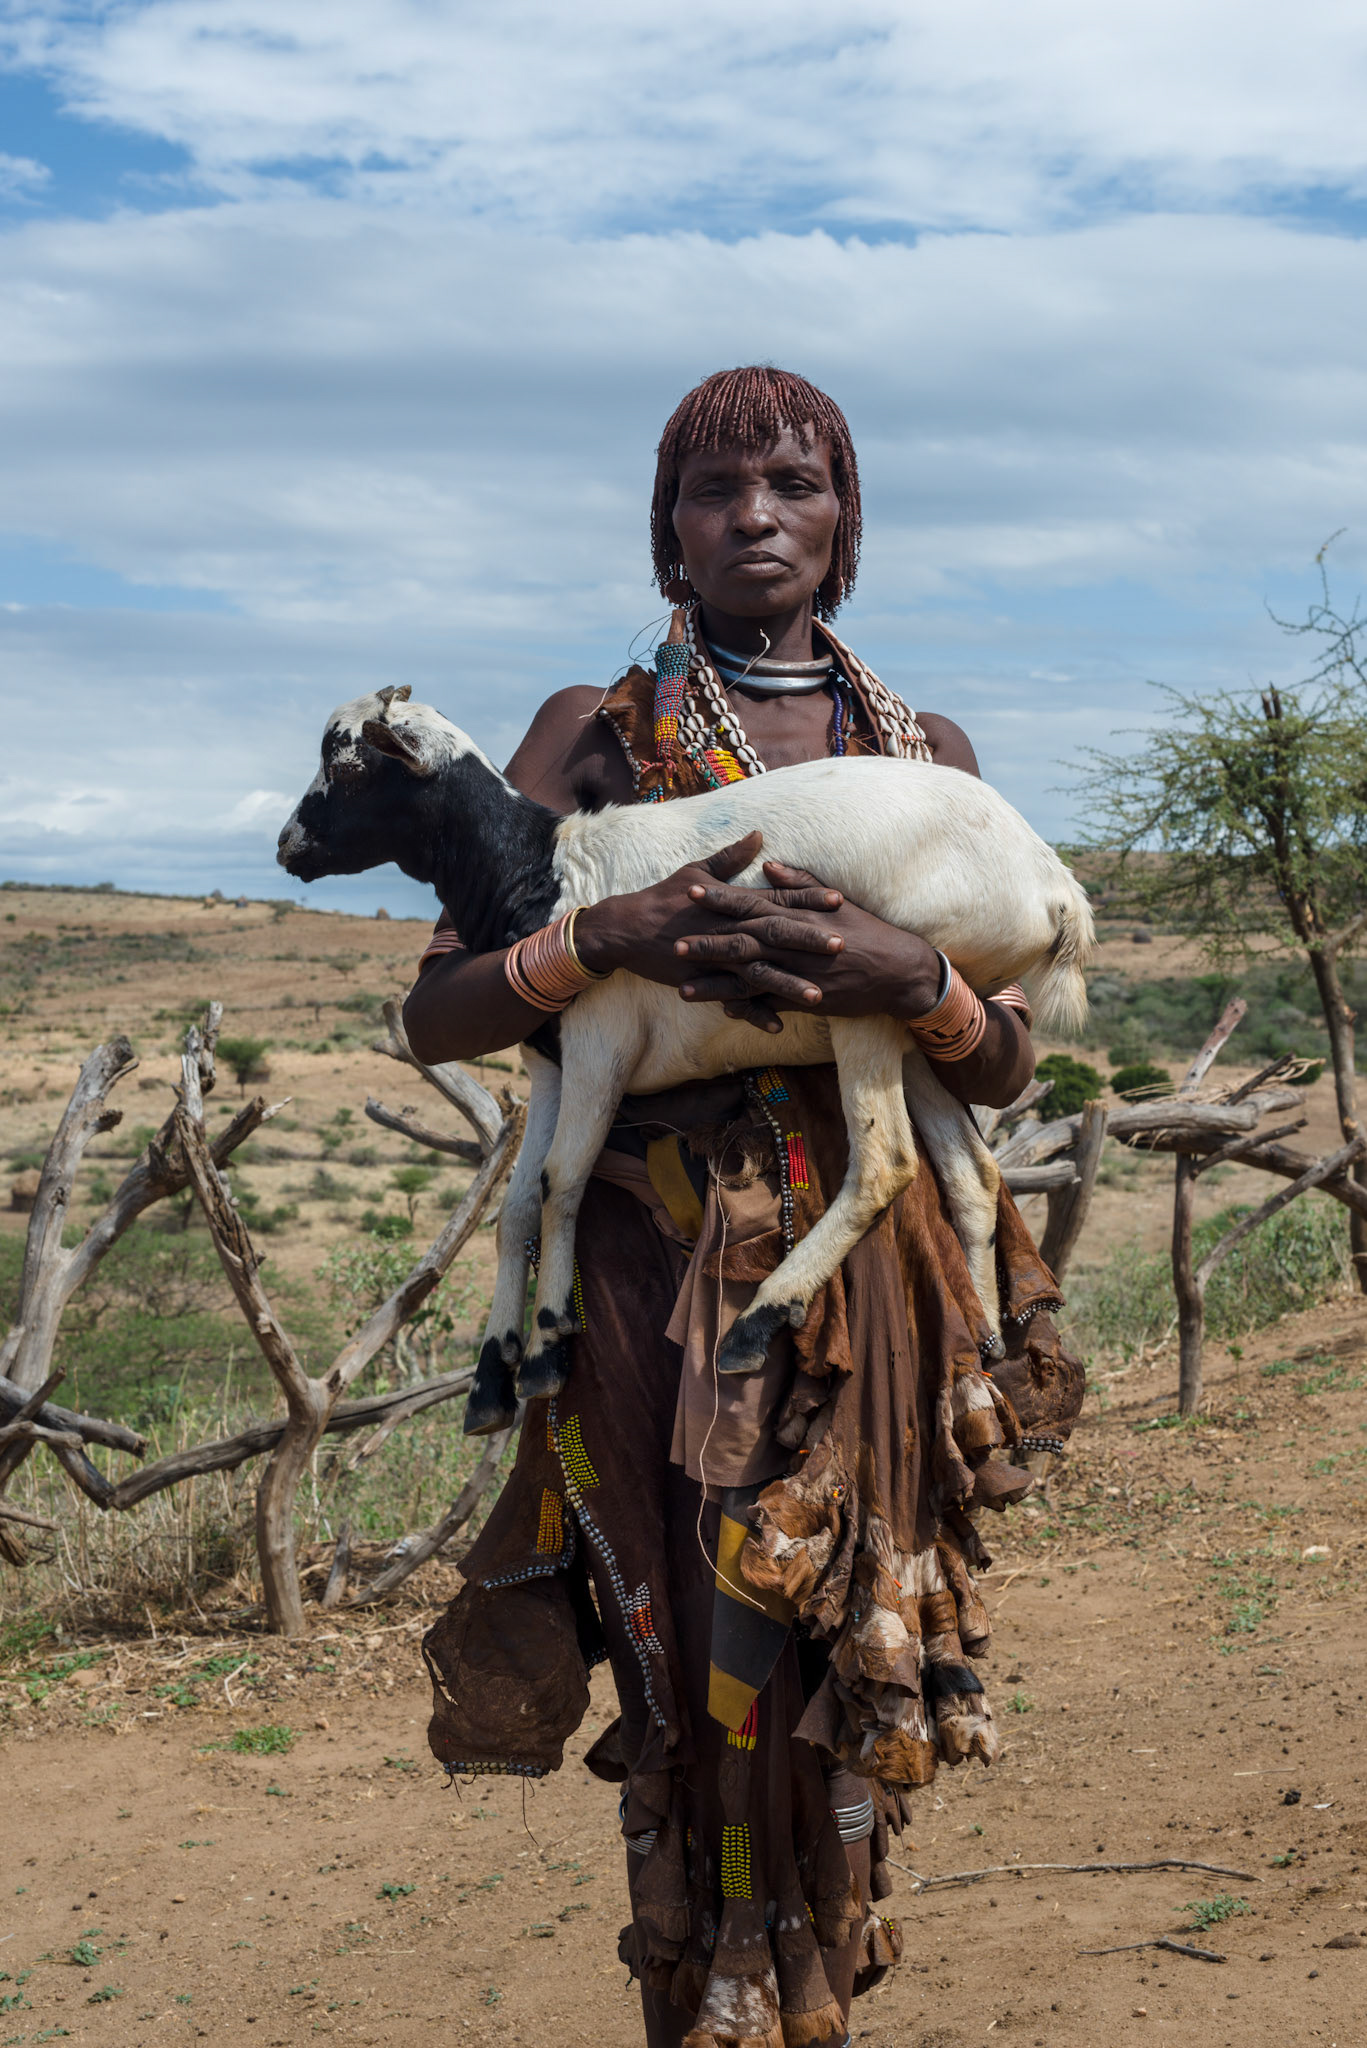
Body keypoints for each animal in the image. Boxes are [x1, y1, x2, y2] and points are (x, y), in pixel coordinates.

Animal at [279, 686, 1093, 1436]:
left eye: (347, 762)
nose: (288, 846)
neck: (547, 870)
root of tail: (1054, 887)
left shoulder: (600, 1042)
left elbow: (560, 1182)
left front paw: (545, 1352)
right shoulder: (550, 1063)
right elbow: (515, 1207)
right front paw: (488, 1379)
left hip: (864, 986)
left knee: (886, 1161)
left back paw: (758, 1322)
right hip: (917, 1017)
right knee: (969, 1171)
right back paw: (983, 1344)